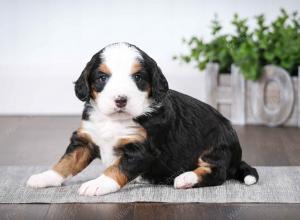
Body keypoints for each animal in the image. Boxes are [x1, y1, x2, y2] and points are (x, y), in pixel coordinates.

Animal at [27, 42, 258, 196]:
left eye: (138, 77)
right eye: (102, 78)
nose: (121, 100)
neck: (114, 120)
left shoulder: (141, 149)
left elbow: (116, 168)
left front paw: (97, 184)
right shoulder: (85, 139)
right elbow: (65, 162)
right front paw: (44, 177)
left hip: (216, 147)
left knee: (217, 172)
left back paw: (185, 178)